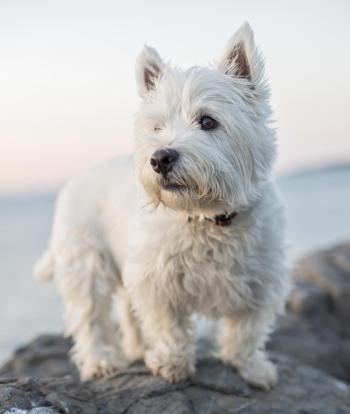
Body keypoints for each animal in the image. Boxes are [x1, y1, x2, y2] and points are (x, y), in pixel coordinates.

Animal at [34, 22, 288, 390]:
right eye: (157, 126)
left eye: (208, 121)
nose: (160, 158)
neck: (206, 217)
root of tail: (73, 181)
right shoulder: (156, 280)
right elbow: (168, 325)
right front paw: (172, 363)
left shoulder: (260, 280)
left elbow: (246, 330)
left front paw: (251, 368)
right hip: (86, 262)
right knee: (90, 317)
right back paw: (101, 363)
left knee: (126, 311)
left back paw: (138, 350)